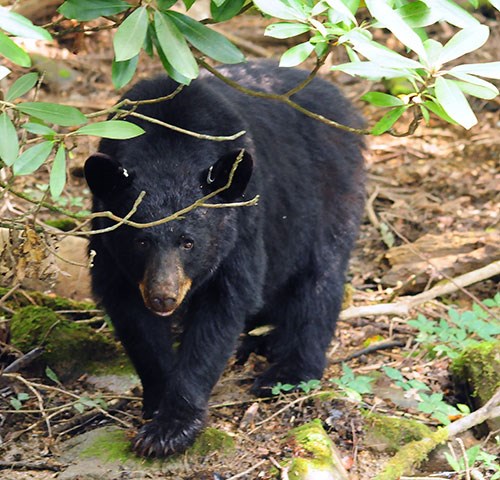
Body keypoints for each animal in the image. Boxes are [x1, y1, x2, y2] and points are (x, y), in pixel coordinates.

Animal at [85, 61, 364, 458]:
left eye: (188, 242)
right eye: (140, 241)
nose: (162, 297)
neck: (169, 149)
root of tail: (335, 93)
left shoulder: (240, 227)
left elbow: (222, 310)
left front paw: (171, 427)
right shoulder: (109, 249)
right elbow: (132, 318)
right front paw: (157, 400)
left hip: (328, 192)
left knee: (318, 280)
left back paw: (289, 371)